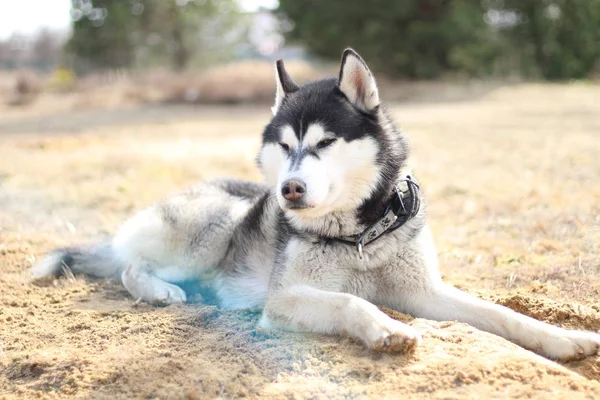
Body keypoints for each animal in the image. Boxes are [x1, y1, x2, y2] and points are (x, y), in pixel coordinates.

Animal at [32, 48, 600, 360]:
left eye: (325, 142)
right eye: (286, 146)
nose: (290, 190)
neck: (362, 236)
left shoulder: (424, 291)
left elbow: (499, 314)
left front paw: (562, 338)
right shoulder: (284, 299)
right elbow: (352, 301)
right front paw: (387, 328)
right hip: (218, 225)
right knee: (130, 267)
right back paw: (161, 291)